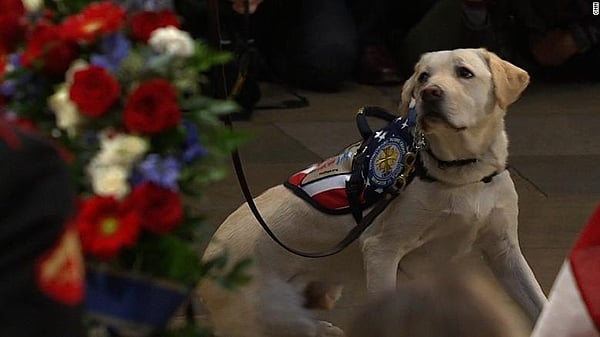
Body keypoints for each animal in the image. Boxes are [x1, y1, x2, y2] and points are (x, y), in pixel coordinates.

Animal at [199, 48, 548, 336]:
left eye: (465, 72)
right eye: (423, 77)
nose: (429, 93)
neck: (462, 173)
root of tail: (205, 262)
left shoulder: (504, 251)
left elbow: (540, 303)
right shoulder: (382, 250)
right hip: (273, 313)